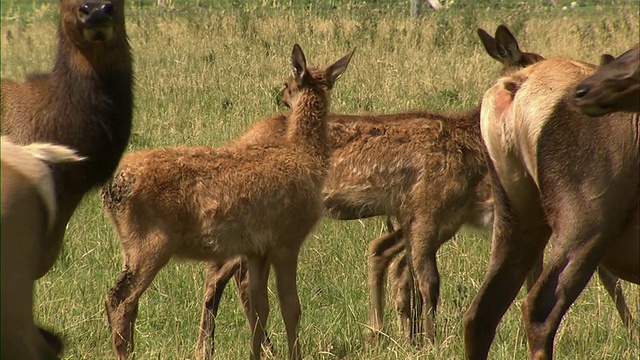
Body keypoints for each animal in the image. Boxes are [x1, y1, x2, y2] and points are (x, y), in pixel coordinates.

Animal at [102, 43, 352, 358]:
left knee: (125, 300)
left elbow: (259, 310)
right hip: (150, 241)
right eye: (288, 82)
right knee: (120, 299)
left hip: (133, 244)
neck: (304, 156)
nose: (280, 95)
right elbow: (291, 308)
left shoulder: (258, 249)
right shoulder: (287, 238)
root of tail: (112, 188)